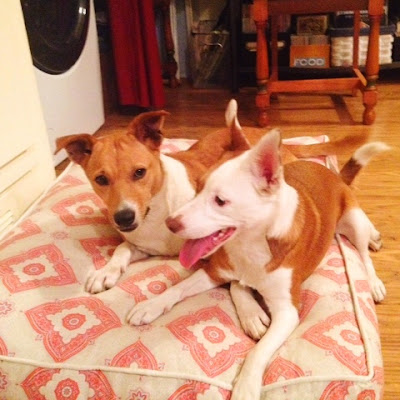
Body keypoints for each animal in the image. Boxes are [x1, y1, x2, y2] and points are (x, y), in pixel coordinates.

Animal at [127, 127, 387, 399]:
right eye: (197, 189)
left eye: (220, 201)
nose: (170, 223)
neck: (250, 243)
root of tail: (332, 173)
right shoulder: (215, 271)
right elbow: (180, 287)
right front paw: (152, 305)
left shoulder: (287, 312)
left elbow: (258, 351)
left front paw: (245, 386)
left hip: (354, 220)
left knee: (363, 253)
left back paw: (373, 277)